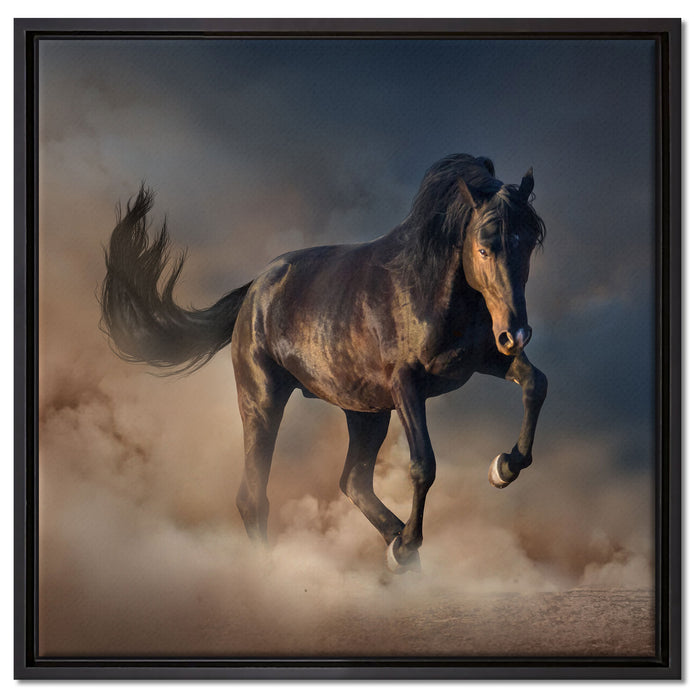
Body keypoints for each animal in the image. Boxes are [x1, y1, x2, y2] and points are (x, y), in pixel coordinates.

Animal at [100, 153, 547, 573]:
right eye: (483, 248)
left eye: (528, 244)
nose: (517, 333)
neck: (428, 287)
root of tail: (255, 288)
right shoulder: (407, 385)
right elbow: (424, 465)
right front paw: (408, 544)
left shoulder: (485, 359)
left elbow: (535, 383)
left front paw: (504, 468)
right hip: (263, 401)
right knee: (254, 496)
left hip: (366, 411)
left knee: (353, 481)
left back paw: (399, 550)